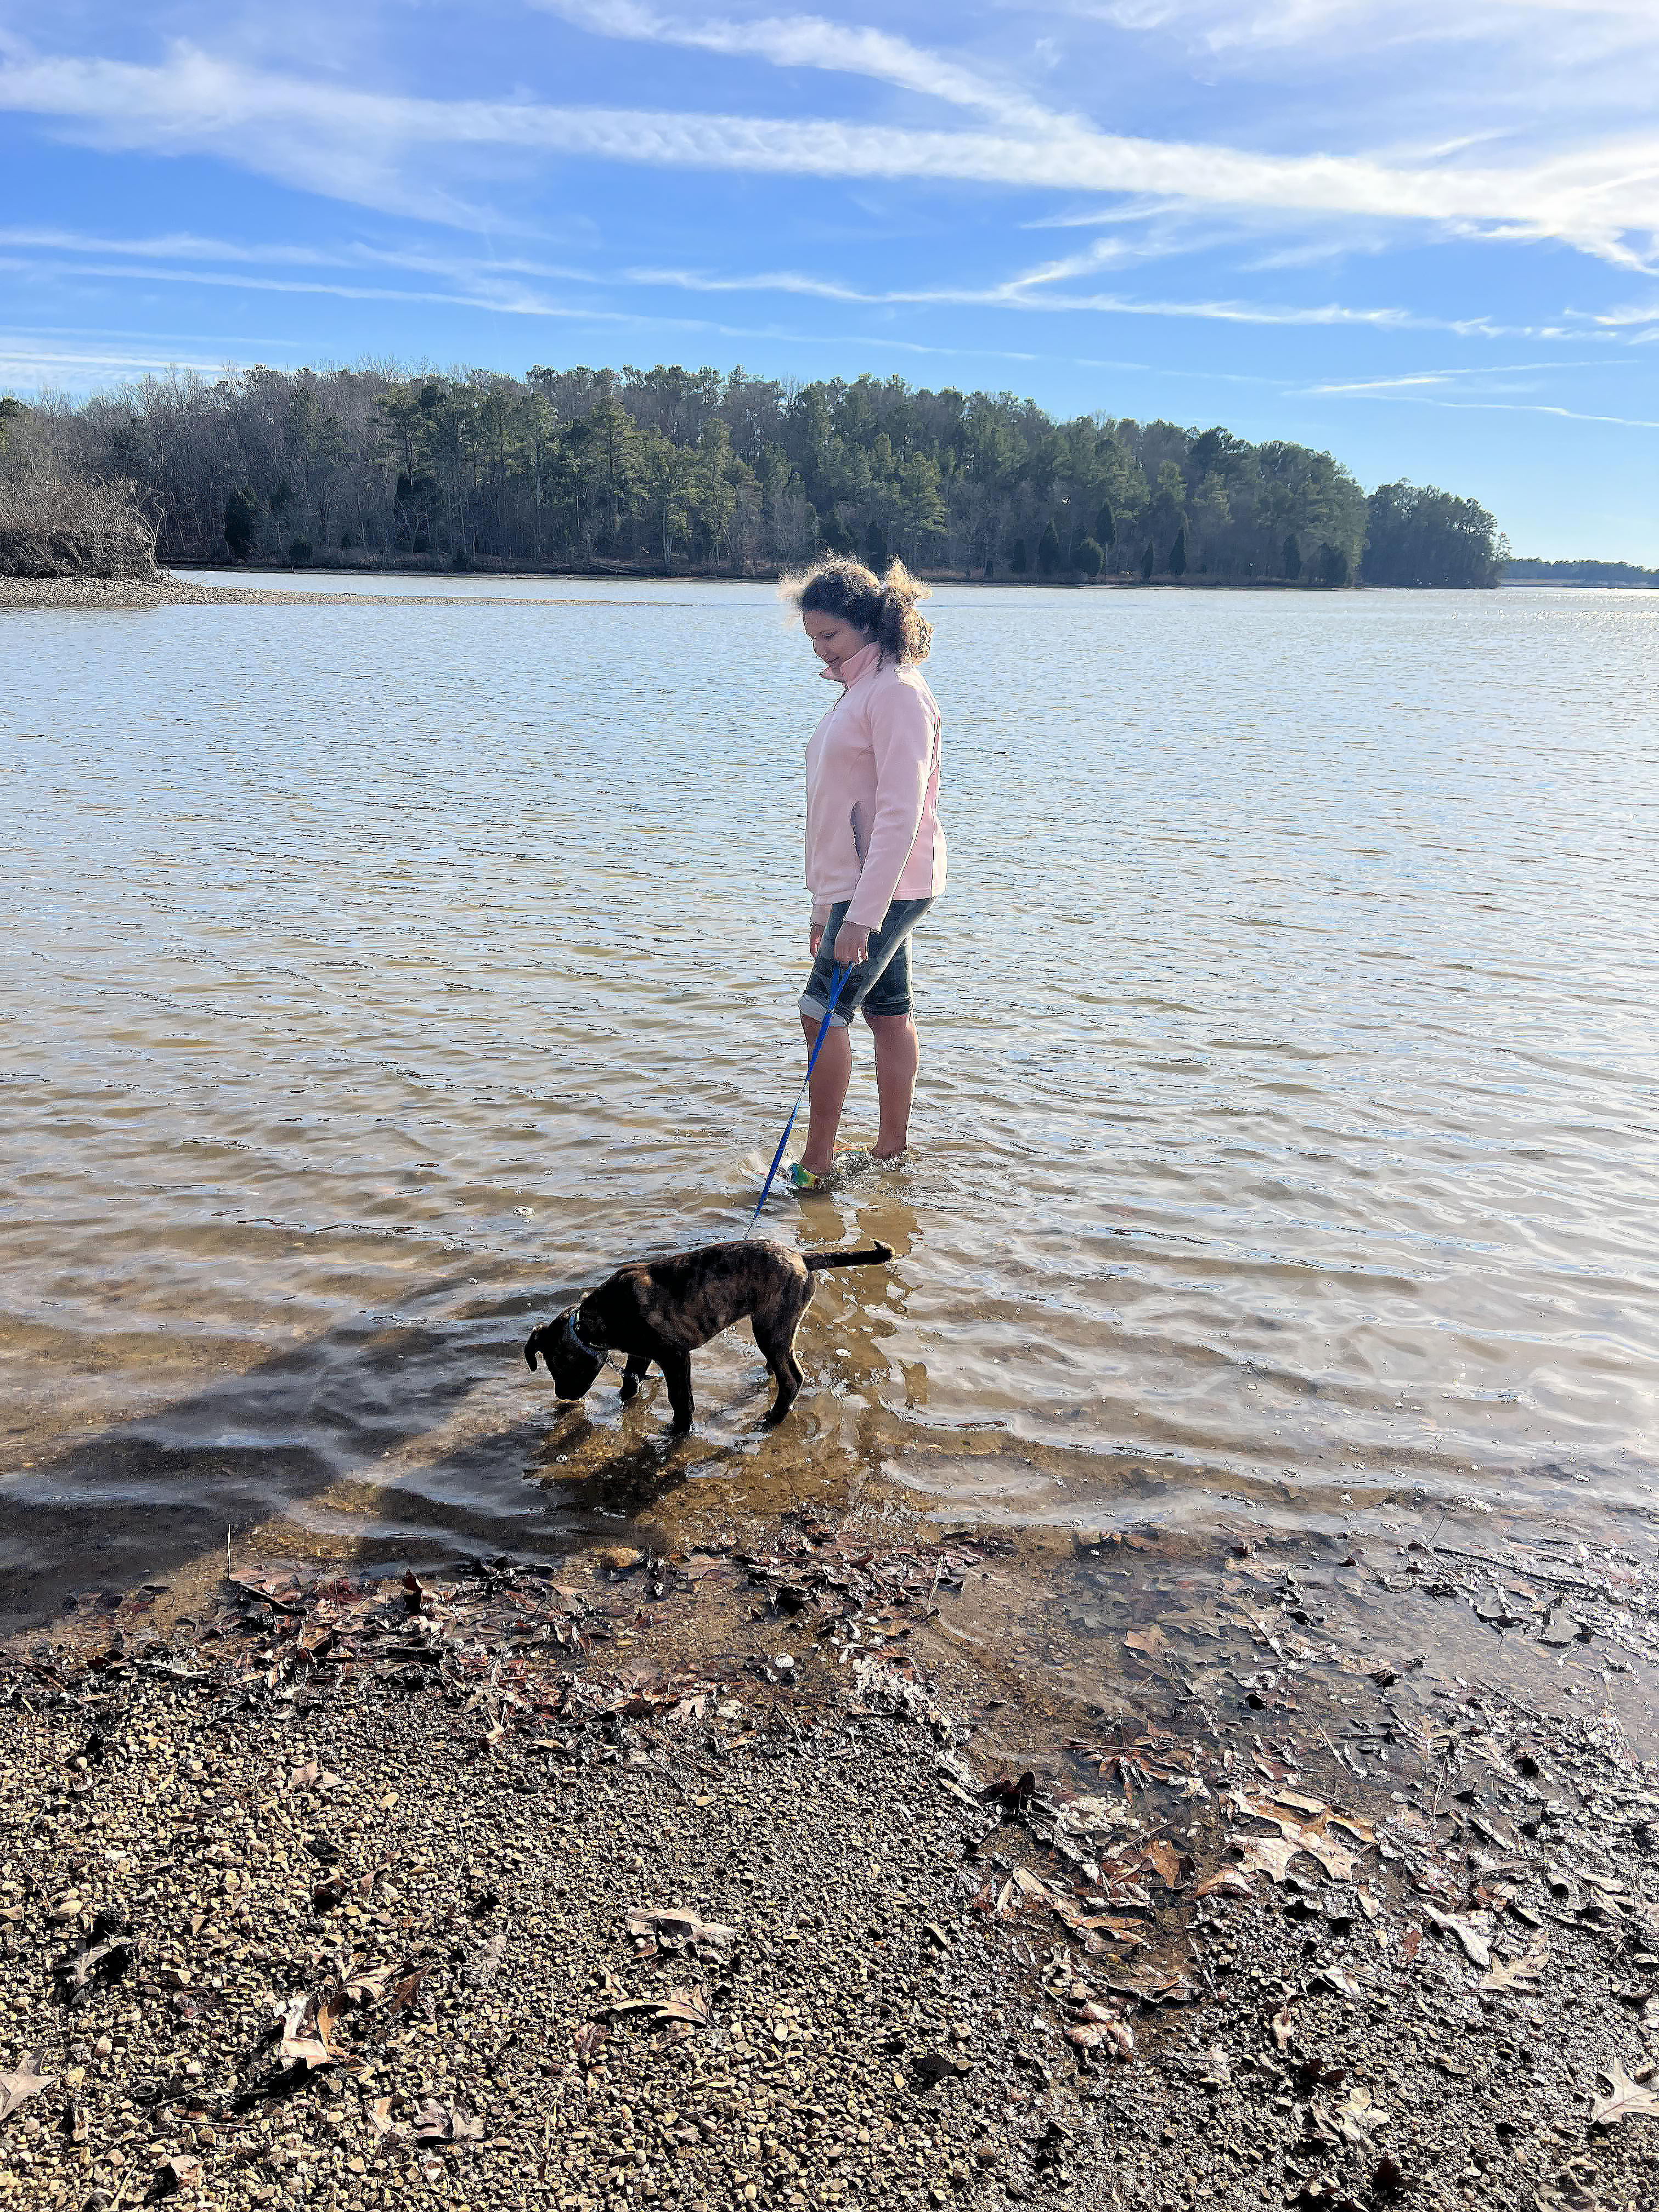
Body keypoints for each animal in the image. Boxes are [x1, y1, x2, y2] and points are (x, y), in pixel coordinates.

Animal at [528, 1238, 898, 1424]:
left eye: (558, 1368)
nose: (563, 1397)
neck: (592, 1320)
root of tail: (802, 1258)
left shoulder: (675, 1357)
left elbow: (681, 1400)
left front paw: (679, 1431)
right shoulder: (641, 1354)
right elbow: (630, 1381)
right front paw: (625, 1401)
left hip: (769, 1329)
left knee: (793, 1378)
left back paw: (774, 1417)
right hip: (776, 1329)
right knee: (783, 1364)